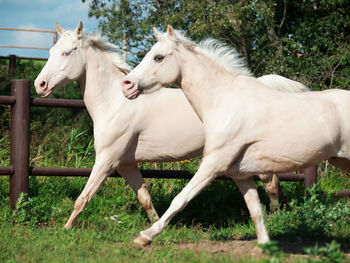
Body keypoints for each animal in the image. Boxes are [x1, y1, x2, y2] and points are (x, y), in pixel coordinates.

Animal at [34, 22, 308, 231]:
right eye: (51, 50)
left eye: (67, 52)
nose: (40, 85)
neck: (114, 102)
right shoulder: (125, 164)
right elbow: (144, 197)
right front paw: (155, 227)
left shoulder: (106, 159)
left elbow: (82, 198)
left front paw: (65, 229)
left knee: (272, 185)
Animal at [121, 24, 350, 248]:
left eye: (158, 57)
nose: (127, 85)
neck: (224, 100)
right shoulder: (241, 174)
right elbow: (255, 210)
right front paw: (264, 246)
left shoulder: (214, 163)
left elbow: (180, 198)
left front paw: (145, 237)